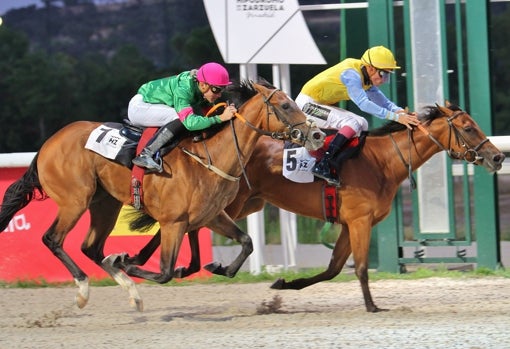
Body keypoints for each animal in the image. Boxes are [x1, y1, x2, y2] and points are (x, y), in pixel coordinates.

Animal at [0, 80, 324, 308]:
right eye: (284, 106)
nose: (316, 135)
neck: (211, 157)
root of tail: (48, 143)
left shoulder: (211, 216)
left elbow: (245, 243)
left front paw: (219, 266)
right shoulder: (173, 223)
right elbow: (166, 270)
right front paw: (129, 261)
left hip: (105, 204)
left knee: (91, 247)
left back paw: (131, 291)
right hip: (75, 200)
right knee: (53, 239)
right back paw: (83, 288)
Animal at [116, 102, 506, 312]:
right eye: (468, 127)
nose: (498, 156)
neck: (382, 161)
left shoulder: (349, 224)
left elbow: (333, 270)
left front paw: (284, 284)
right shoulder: (360, 221)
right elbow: (359, 268)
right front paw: (372, 305)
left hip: (244, 204)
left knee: (186, 226)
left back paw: (147, 262)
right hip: (232, 203)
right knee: (182, 225)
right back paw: (142, 262)